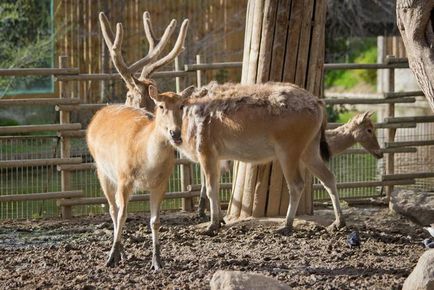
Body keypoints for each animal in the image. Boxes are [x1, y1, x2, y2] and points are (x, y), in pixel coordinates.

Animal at [87, 11, 191, 270]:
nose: (176, 134)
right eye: (161, 106)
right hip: (102, 170)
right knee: (113, 209)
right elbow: (123, 214)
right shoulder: (124, 177)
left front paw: (157, 260)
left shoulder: (162, 182)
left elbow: (154, 220)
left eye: (182, 107)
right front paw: (111, 257)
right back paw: (120, 253)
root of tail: (99, 113)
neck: (146, 160)